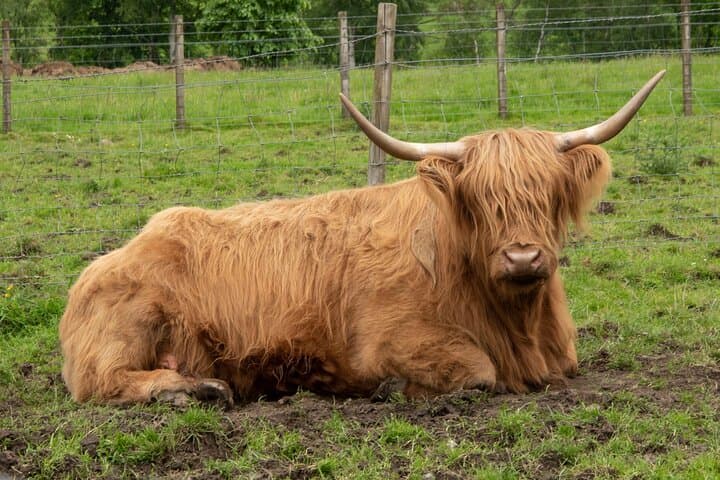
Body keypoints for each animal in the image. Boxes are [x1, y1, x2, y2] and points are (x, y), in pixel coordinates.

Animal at [59, 71, 665, 407]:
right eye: (480, 200)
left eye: (547, 195)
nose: (522, 256)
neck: (519, 324)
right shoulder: (389, 343)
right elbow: (478, 372)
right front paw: (393, 389)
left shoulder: (561, 357)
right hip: (129, 328)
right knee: (105, 381)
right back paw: (198, 389)